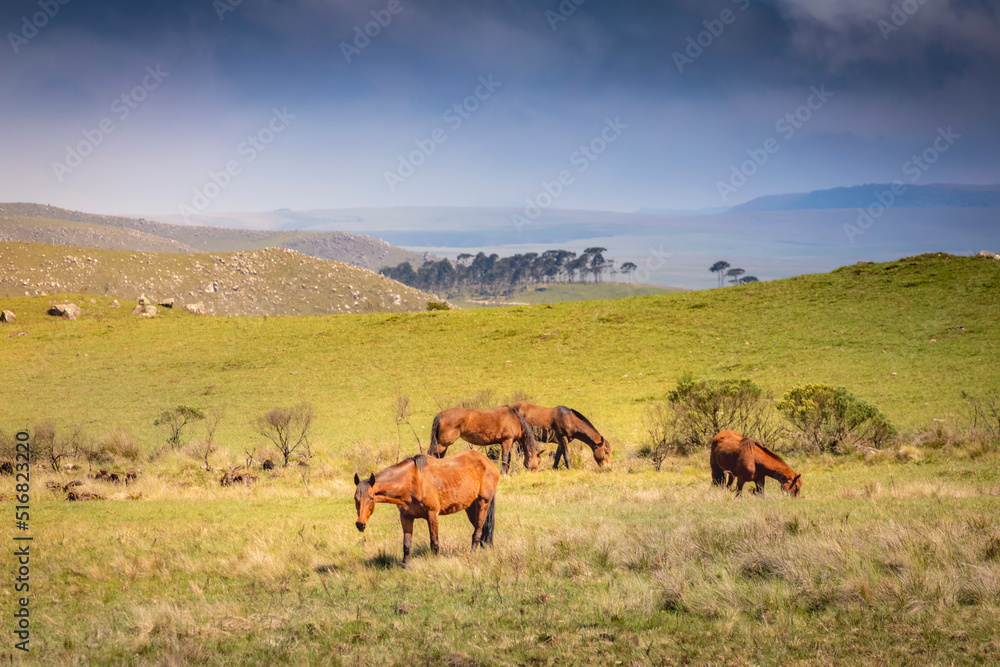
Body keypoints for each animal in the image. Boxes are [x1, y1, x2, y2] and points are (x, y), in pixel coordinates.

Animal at [356, 452, 504, 568]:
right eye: (355, 498)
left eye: (371, 498)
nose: (360, 524)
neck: (412, 482)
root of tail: (488, 462)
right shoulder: (406, 517)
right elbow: (407, 544)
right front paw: (405, 566)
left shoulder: (432, 515)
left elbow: (434, 542)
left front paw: (436, 563)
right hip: (471, 508)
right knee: (483, 531)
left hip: (483, 503)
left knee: (477, 532)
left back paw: (471, 556)